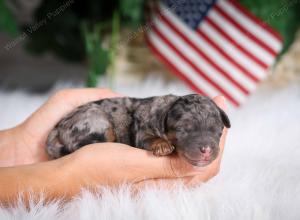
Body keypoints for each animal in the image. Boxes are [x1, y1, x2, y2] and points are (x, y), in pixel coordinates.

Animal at [46, 94, 230, 167]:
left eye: (217, 130)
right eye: (182, 129)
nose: (206, 150)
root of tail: (58, 127)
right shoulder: (141, 132)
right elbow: (147, 138)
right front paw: (162, 145)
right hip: (96, 123)